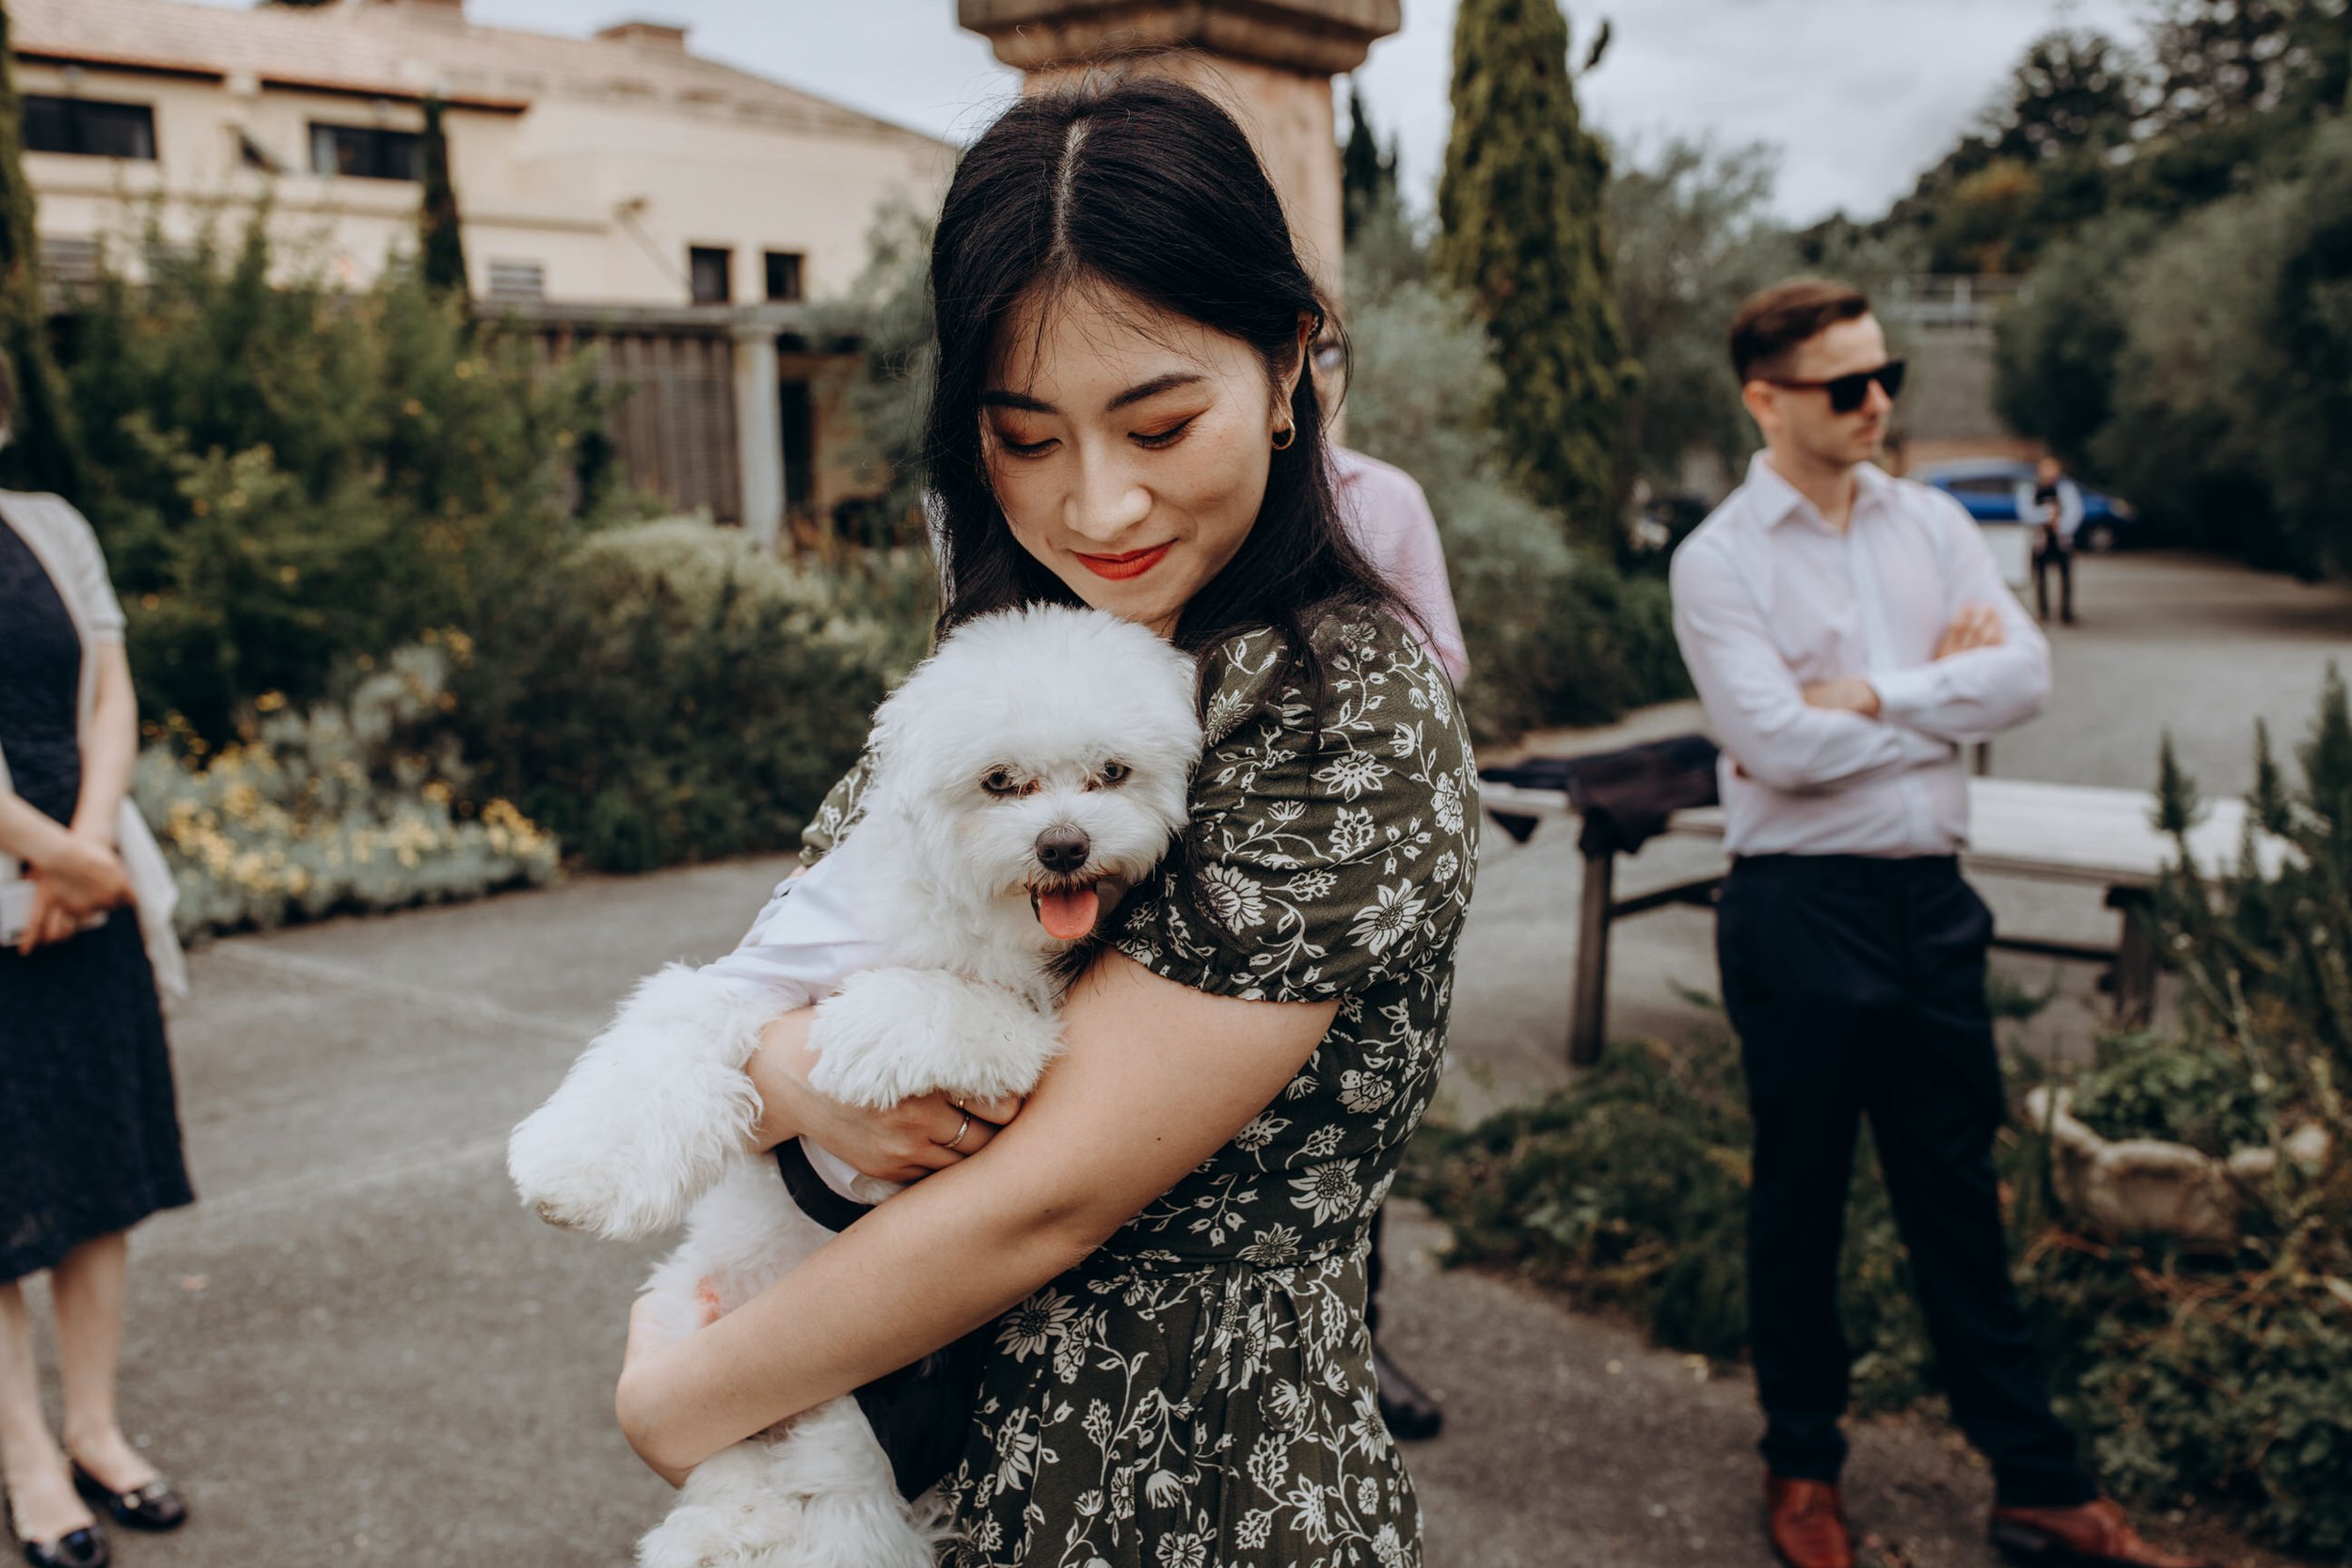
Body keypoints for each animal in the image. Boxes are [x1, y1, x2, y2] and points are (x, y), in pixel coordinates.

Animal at [508, 606, 1204, 1568]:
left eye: (1113, 772)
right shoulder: (759, 972)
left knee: (829, 1495)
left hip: (861, 1399)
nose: (1064, 844)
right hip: (694, 1325)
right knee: (731, 1463)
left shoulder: (1030, 1024)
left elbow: (952, 1006)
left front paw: (865, 1029)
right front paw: (576, 1171)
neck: (967, 911)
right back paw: (719, 1531)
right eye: (1000, 781)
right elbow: (668, 1036)